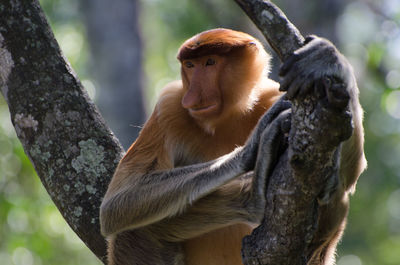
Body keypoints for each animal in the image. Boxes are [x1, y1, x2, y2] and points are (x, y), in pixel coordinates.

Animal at [99, 28, 366, 264]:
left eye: (210, 62)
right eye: (190, 65)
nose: (193, 96)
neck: (226, 118)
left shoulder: (274, 94)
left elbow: (348, 177)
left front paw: (328, 59)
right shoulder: (170, 105)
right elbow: (118, 200)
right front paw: (254, 146)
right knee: (133, 228)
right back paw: (252, 198)